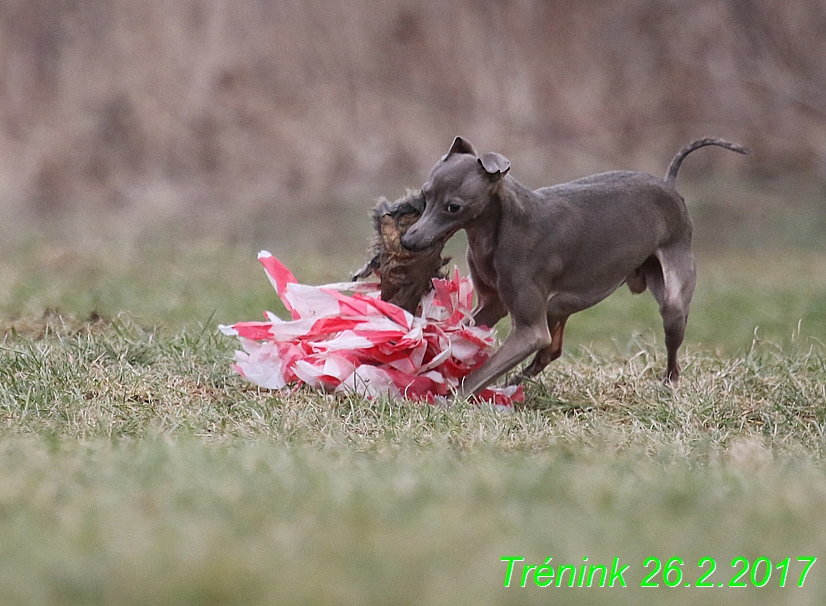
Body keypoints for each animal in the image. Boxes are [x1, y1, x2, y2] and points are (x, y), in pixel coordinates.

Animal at [400, 137, 748, 400]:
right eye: (425, 194)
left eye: (453, 207)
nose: (408, 240)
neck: (498, 231)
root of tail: (670, 185)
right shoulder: (493, 305)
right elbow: (461, 334)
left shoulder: (529, 330)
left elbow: (483, 372)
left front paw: (449, 398)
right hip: (558, 308)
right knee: (551, 351)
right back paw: (515, 382)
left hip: (673, 297)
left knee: (672, 350)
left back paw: (668, 385)